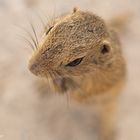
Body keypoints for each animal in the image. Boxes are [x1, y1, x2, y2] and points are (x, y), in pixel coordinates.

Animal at [28, 7, 126, 140]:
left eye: (76, 61)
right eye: (50, 28)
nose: (31, 67)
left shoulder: (97, 83)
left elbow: (81, 91)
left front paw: (60, 86)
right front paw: (48, 84)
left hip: (109, 103)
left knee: (108, 114)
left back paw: (107, 133)